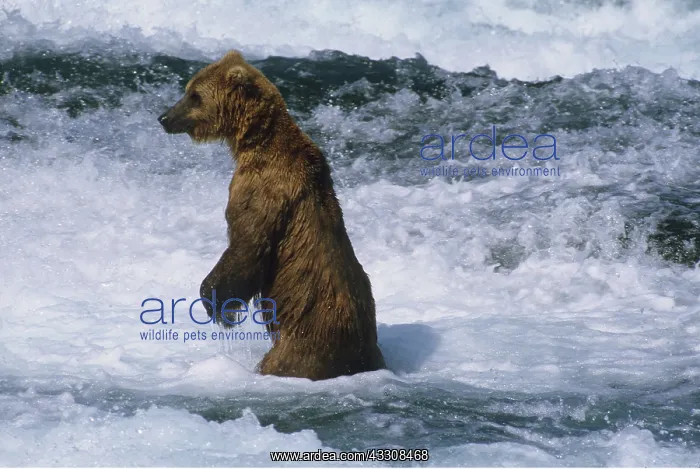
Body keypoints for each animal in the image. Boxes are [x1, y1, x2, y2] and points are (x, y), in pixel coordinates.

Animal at [157, 50, 386, 380]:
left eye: (194, 95)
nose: (164, 117)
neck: (255, 142)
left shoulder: (263, 190)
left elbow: (248, 243)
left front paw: (218, 304)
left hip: (302, 346)